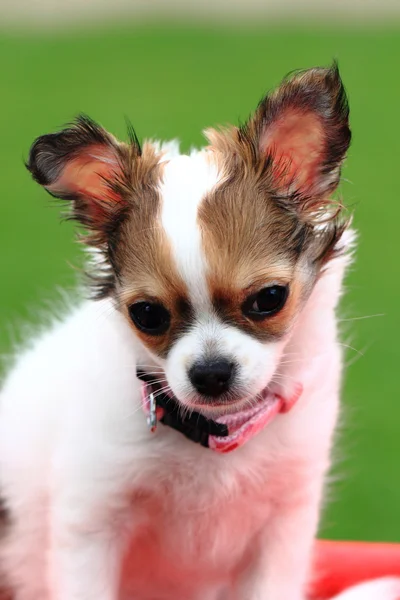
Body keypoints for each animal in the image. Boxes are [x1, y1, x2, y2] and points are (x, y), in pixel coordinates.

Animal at [0, 63, 396, 596]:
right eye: (148, 314)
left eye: (269, 298)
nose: (210, 373)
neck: (217, 435)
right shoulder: (90, 520)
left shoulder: (284, 525)